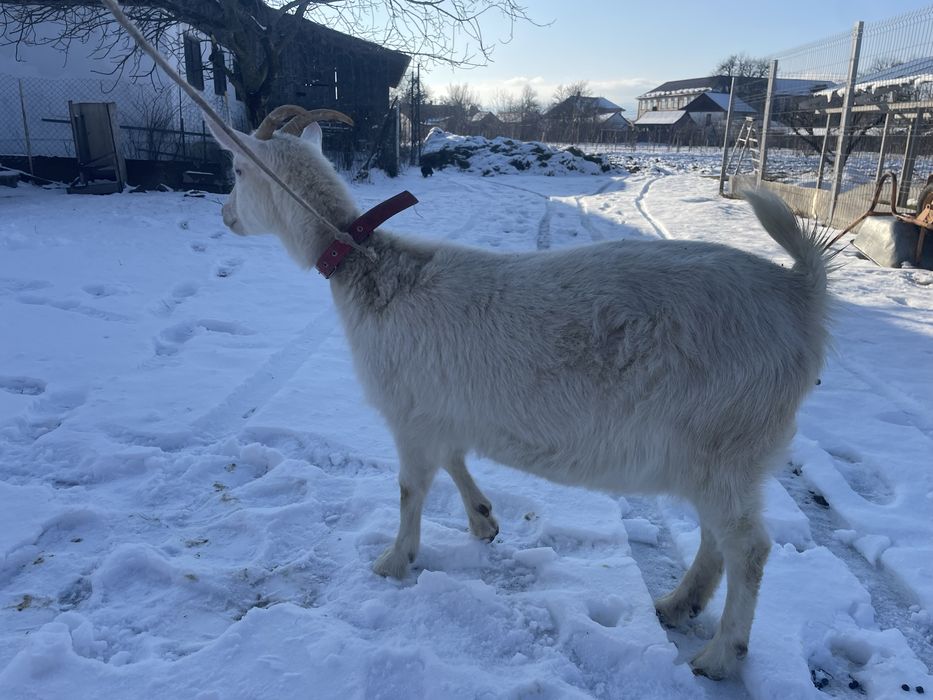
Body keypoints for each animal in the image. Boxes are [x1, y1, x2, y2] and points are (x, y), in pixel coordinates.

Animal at [207, 106, 830, 680]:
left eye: (237, 169)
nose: (225, 214)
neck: (372, 270)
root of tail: (799, 293)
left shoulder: (409, 411)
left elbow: (411, 488)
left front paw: (393, 561)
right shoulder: (443, 408)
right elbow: (455, 459)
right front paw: (484, 521)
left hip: (728, 439)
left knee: (748, 547)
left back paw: (721, 655)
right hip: (716, 455)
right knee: (715, 536)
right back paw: (678, 605)